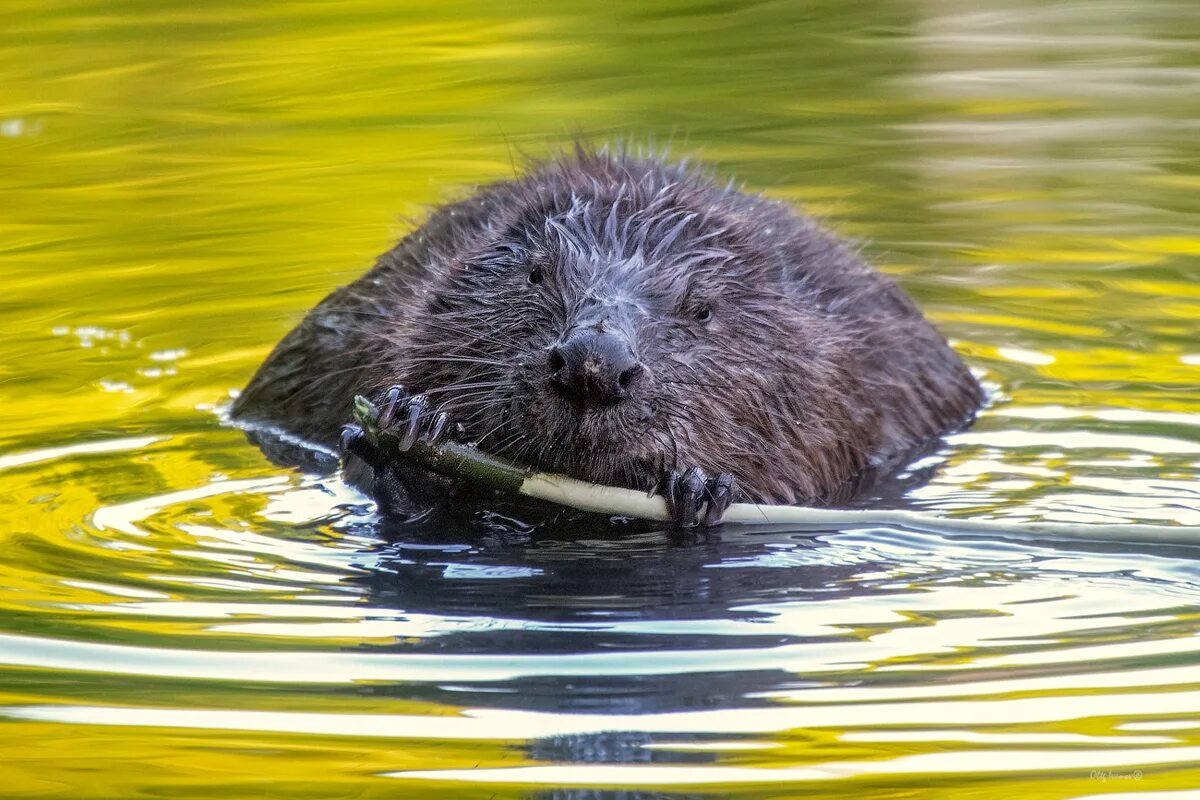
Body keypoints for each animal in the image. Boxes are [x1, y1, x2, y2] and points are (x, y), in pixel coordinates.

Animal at [234, 149, 984, 525]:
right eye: (536, 273)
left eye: (702, 309)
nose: (593, 365)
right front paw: (409, 428)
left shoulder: (850, 381)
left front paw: (701, 486)